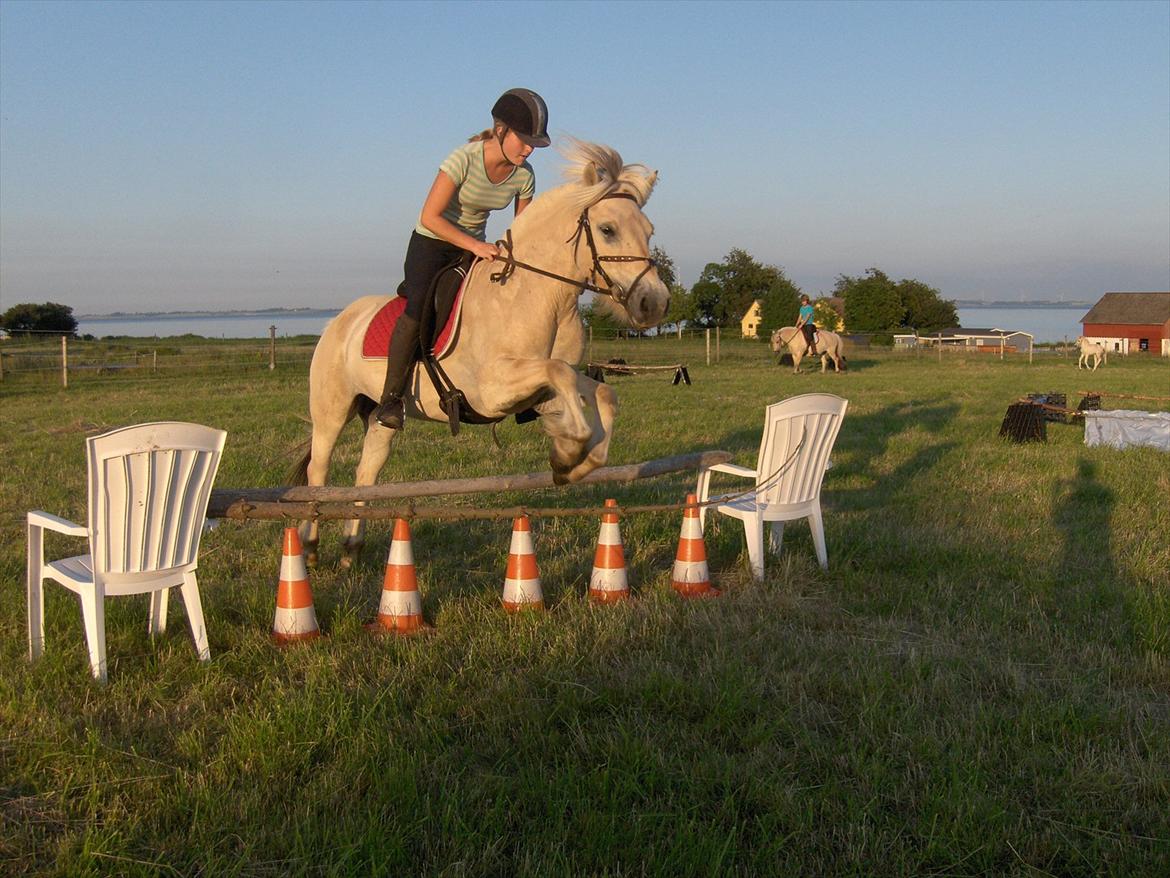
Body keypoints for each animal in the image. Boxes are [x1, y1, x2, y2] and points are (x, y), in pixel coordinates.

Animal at [297, 137, 673, 564]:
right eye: (607, 230)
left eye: (649, 231)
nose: (654, 304)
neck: (538, 294)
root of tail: (337, 322)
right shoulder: (492, 391)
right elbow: (559, 373)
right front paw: (567, 451)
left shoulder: (540, 386)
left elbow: (601, 391)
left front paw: (573, 463)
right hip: (331, 410)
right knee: (319, 471)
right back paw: (309, 547)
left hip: (380, 416)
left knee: (366, 472)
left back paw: (351, 548)